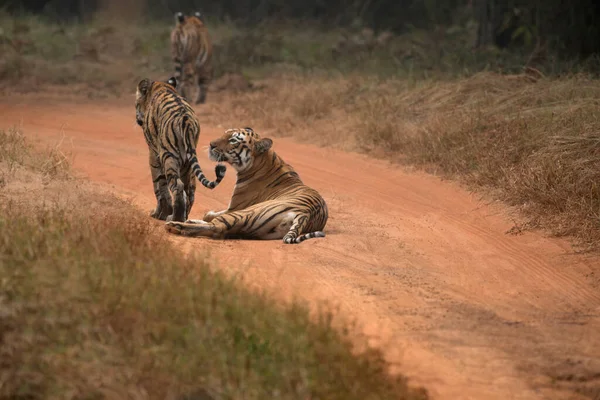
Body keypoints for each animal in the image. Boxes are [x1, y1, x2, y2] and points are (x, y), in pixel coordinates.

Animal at [135, 76, 226, 223]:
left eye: (136, 104)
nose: (137, 119)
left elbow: (159, 185)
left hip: (169, 156)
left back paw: (174, 217)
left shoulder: (154, 153)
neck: (162, 86)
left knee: (177, 185)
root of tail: (186, 120)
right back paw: (183, 217)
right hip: (188, 162)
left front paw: (159, 213)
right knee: (190, 190)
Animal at [165, 126, 328, 244]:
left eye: (232, 140)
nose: (211, 144)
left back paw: (175, 226)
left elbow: (209, 215)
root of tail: (305, 214)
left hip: (247, 212)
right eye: (224, 133)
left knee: (218, 226)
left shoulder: (234, 207)